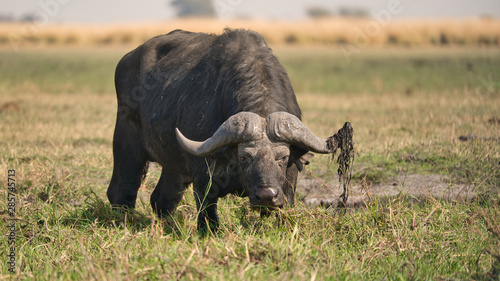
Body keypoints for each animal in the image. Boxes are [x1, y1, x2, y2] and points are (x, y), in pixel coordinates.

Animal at [107, 27, 336, 230]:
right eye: (244, 157)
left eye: (283, 157)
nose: (266, 195)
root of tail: (127, 60)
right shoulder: (203, 179)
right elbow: (208, 217)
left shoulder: (288, 183)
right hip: (126, 144)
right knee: (122, 190)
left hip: (174, 166)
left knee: (162, 199)